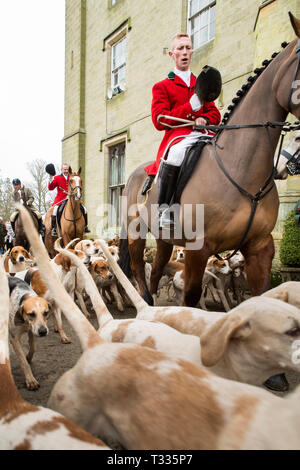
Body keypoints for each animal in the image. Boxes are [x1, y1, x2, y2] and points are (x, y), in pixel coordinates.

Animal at [118, 11, 300, 308]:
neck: (243, 172)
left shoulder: (261, 246)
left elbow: (262, 295)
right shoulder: (198, 249)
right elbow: (191, 298)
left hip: (165, 239)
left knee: (156, 269)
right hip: (136, 233)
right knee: (137, 268)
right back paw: (143, 300)